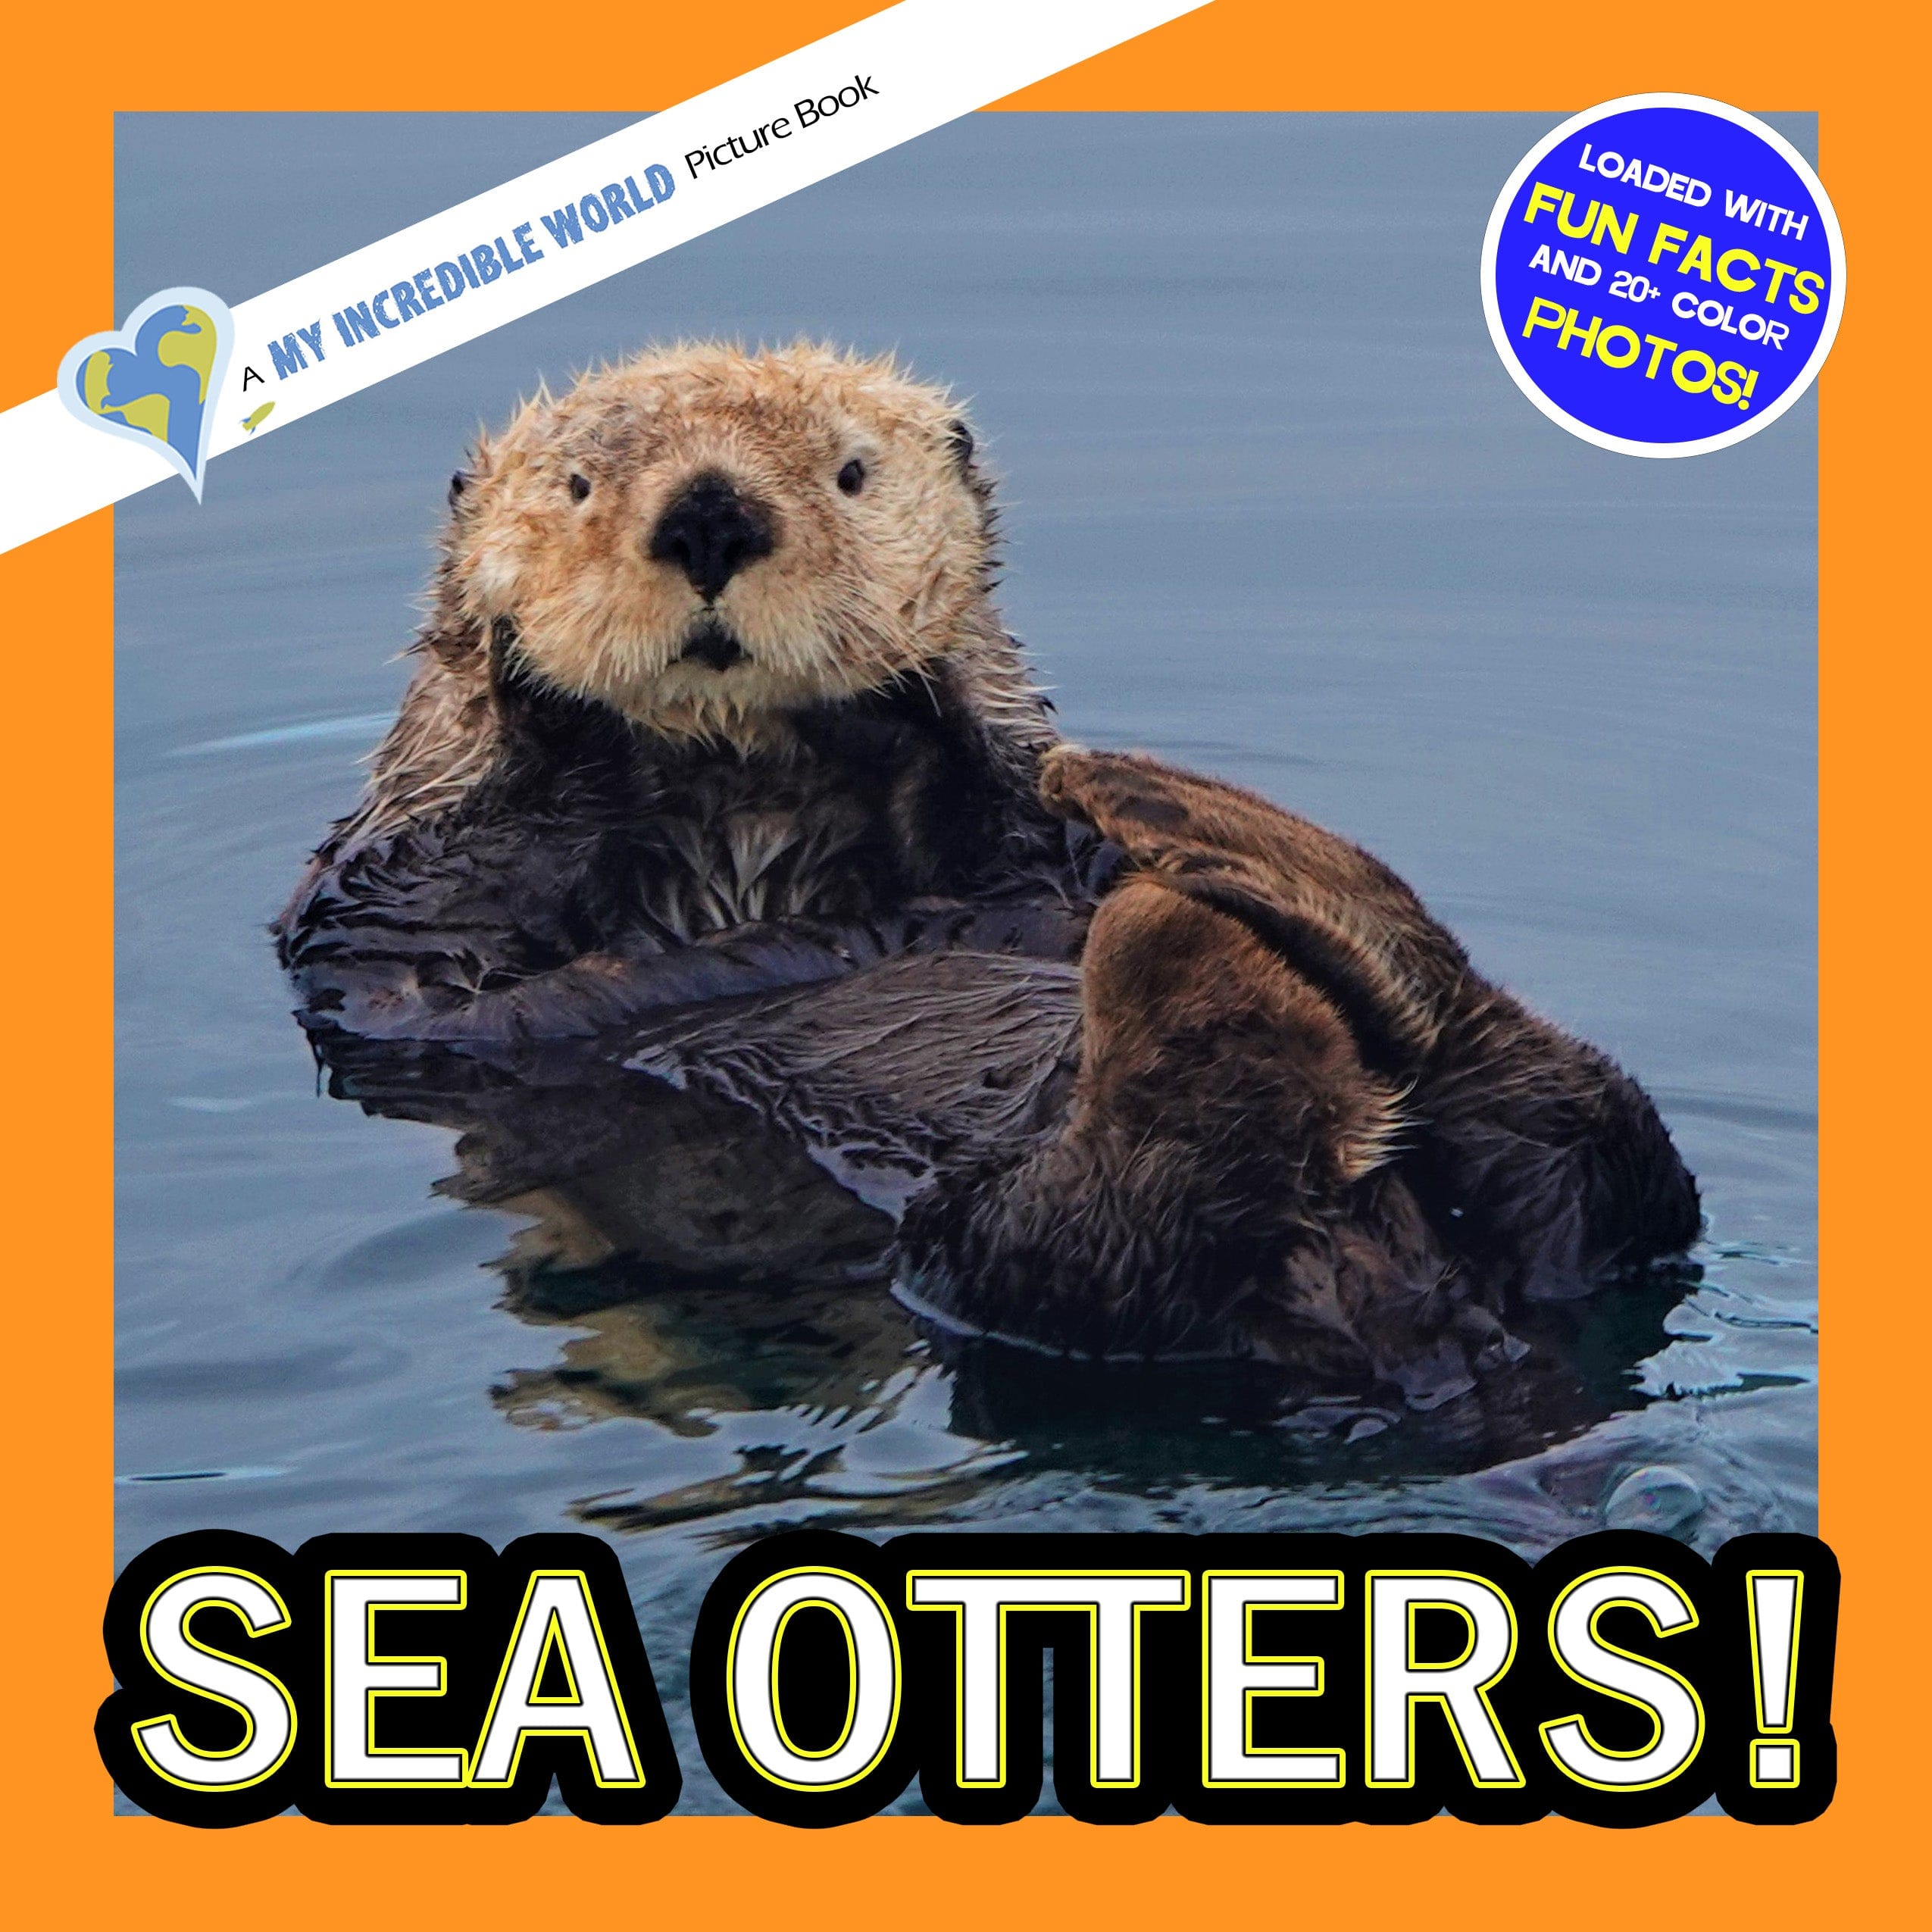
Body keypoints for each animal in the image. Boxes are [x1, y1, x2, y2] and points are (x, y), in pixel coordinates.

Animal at [280, 341, 1698, 1399]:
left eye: (852, 474)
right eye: (578, 484)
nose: (711, 512)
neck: (741, 804)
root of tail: (1411, 1308)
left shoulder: (1026, 839)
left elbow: (1017, 833)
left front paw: (918, 703)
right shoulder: (379, 903)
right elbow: (444, 927)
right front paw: (535, 680)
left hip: (1542, 1208)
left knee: (1578, 1130)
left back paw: (1175, 829)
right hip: (1023, 1266)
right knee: (1161, 1195)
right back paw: (1188, 917)